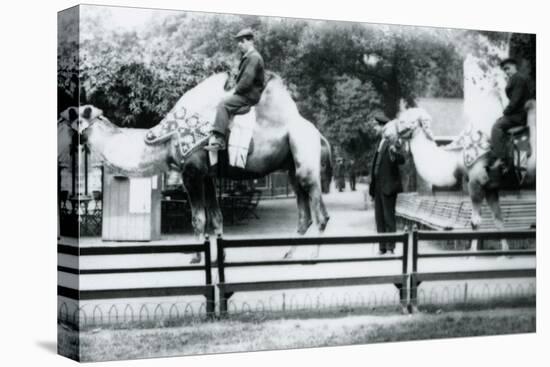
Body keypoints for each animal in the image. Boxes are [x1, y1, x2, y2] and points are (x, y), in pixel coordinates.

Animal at [72, 72, 332, 262]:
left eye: (73, 116)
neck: (165, 140)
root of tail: (319, 134)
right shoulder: (207, 175)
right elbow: (216, 217)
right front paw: (219, 257)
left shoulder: (192, 173)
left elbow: (198, 219)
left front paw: (196, 257)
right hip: (292, 169)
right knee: (304, 215)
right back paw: (288, 254)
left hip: (305, 160)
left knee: (320, 214)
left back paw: (314, 257)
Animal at [392, 103, 540, 253]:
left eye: (407, 121)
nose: (391, 131)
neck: (457, 157)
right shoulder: (490, 187)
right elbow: (498, 219)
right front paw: (505, 254)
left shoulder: (476, 182)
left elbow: (475, 223)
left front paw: (472, 255)